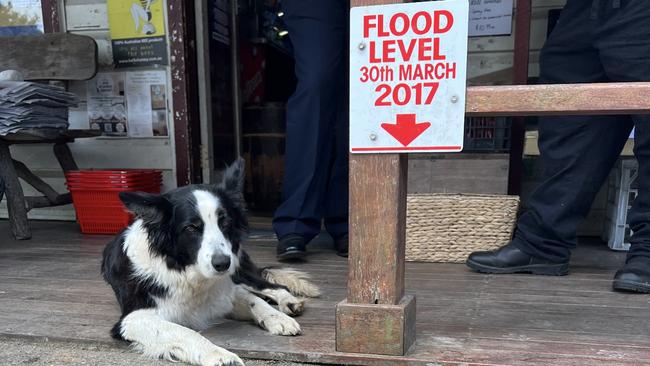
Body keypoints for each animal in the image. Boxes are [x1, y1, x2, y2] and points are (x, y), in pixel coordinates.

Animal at [100, 159, 318, 366]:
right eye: (191, 228)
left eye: (225, 222)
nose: (222, 263)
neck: (189, 275)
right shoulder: (133, 319)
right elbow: (185, 331)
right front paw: (221, 355)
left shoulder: (227, 289)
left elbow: (255, 301)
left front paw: (277, 318)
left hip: (239, 269)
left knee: (271, 285)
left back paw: (288, 301)